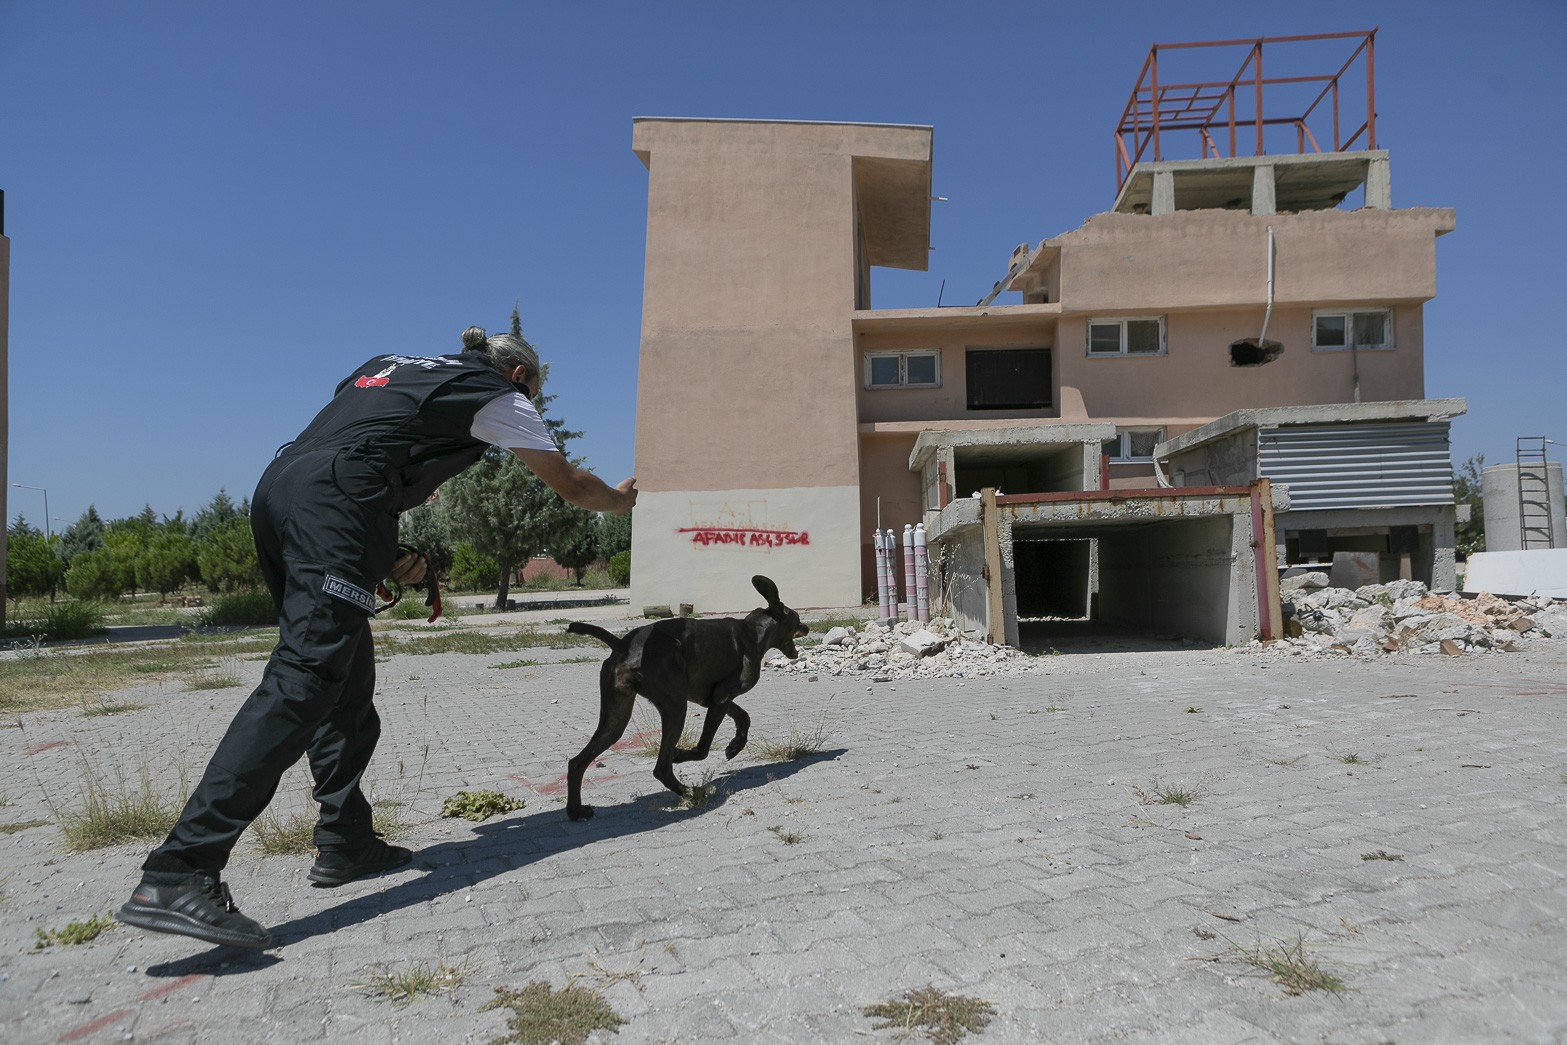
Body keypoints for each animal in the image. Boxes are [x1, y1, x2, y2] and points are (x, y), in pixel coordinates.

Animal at [564, 576, 808, 820]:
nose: (806, 627)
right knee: (661, 768)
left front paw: (735, 746)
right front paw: (681, 754)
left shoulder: (711, 698)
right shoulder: (721, 696)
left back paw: (576, 810)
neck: (754, 632)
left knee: (576, 763)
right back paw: (690, 791)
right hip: (675, 709)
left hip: (616, 718)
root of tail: (624, 645)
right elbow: (703, 748)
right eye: (796, 619)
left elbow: (744, 717)